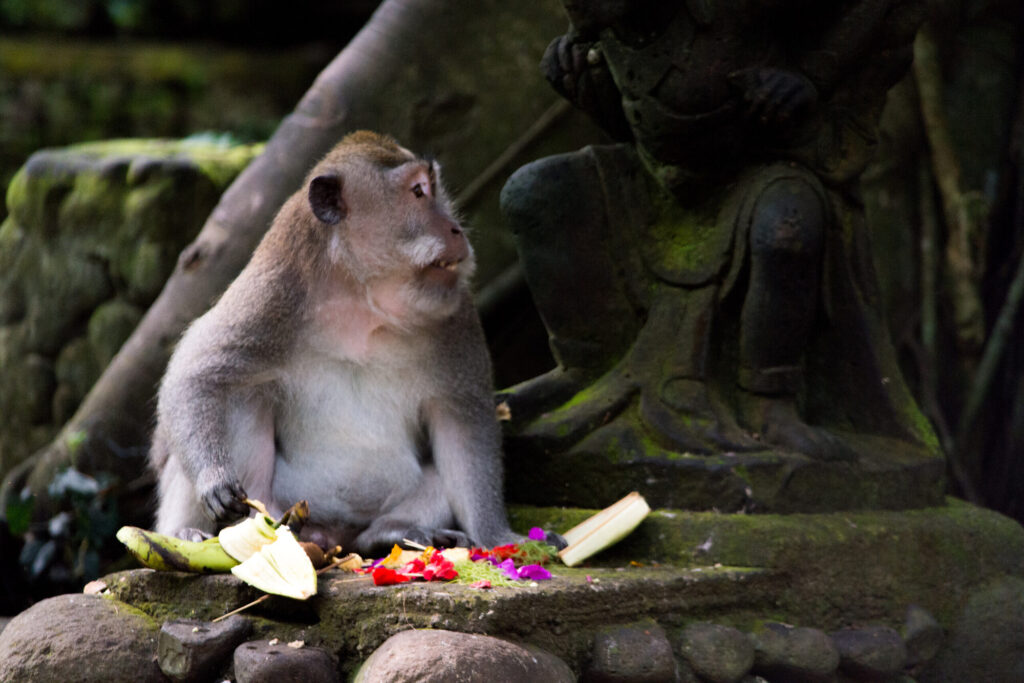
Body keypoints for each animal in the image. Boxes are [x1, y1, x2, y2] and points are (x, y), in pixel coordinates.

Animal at [150, 131, 548, 556]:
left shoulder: (457, 314)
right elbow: (195, 376)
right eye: (418, 192)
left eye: (432, 189)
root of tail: (332, 539)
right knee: (238, 396)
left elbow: (463, 421)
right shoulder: (272, 294)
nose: (455, 228)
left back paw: (391, 532)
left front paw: (498, 535)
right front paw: (214, 478)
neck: (362, 298)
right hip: (276, 507)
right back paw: (188, 533)